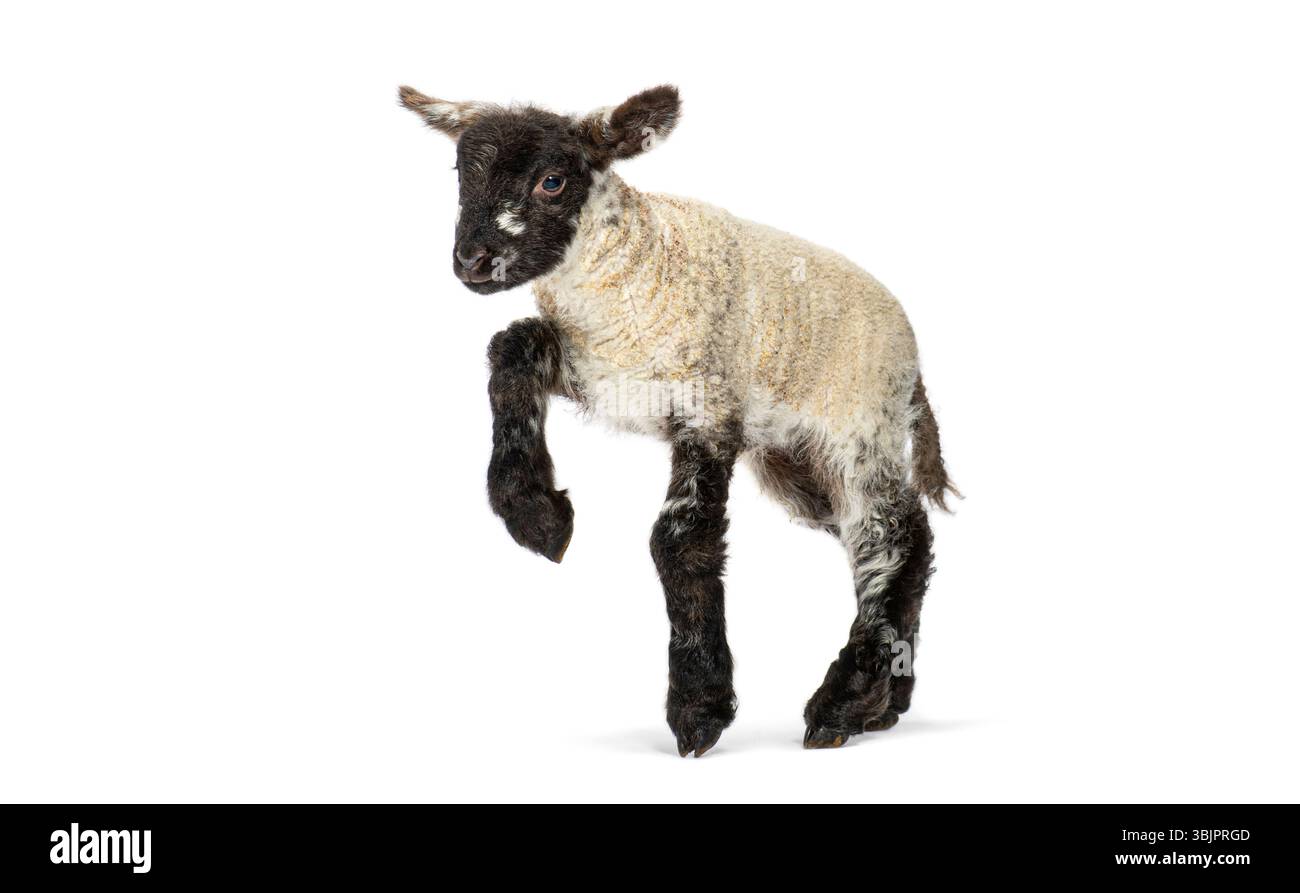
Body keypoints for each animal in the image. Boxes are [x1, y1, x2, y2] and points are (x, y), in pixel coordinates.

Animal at [399, 84, 957, 755]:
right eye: (460, 172)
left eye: (552, 181)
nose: (473, 262)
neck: (635, 262)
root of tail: (915, 366)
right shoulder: (599, 376)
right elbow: (511, 349)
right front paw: (535, 514)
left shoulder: (708, 407)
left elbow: (680, 539)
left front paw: (699, 705)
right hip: (797, 460)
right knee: (904, 535)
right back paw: (888, 701)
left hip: (858, 424)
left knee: (886, 540)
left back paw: (842, 705)